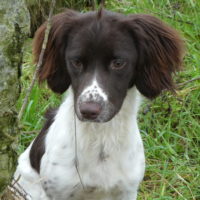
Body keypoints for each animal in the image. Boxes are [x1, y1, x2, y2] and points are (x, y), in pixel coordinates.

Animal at [14, 9, 184, 200]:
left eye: (118, 63)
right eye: (76, 61)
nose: (88, 111)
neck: (101, 138)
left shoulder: (127, 190)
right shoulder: (59, 190)